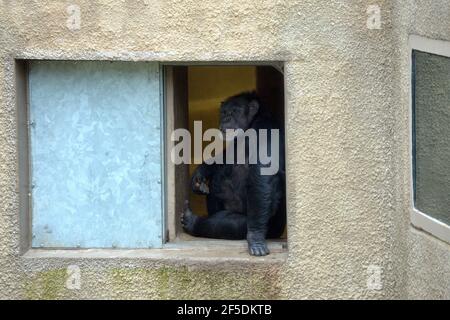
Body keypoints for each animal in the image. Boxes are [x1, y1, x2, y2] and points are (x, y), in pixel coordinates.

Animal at [180, 91, 284, 256]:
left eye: (235, 111)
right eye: (224, 112)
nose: (226, 118)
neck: (251, 125)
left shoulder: (266, 130)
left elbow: (262, 178)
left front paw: (256, 238)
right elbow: (227, 155)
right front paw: (200, 172)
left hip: (271, 225)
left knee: (233, 224)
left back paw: (192, 222)